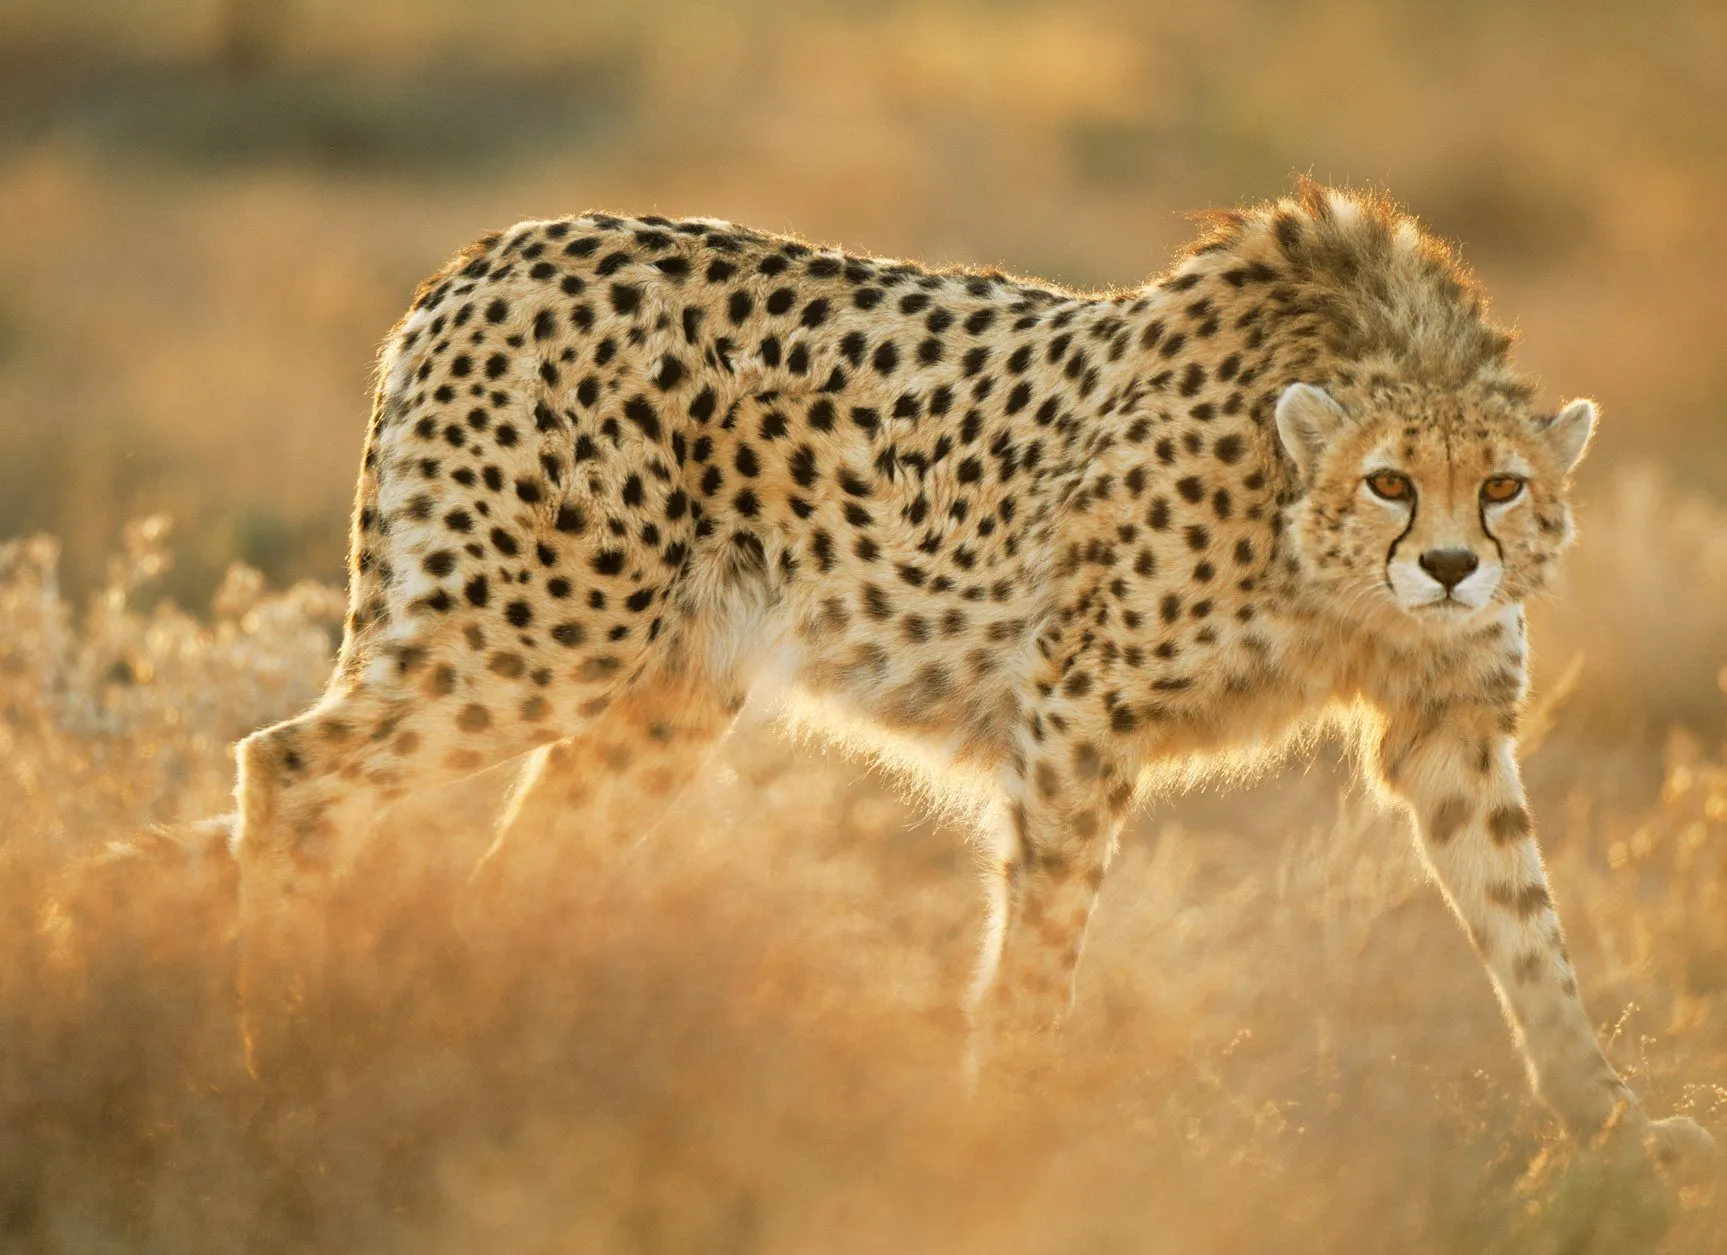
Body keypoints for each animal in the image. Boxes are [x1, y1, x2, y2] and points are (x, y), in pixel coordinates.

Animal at [233, 181, 1713, 1160]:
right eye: (1389, 481)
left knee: (511, 866)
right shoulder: (1075, 706)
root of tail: (490, 251)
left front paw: (1610, 1123)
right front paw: (1006, 1121)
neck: (1317, 557)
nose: (1452, 567)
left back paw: (509, 1069)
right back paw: (283, 1053)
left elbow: (1527, 924)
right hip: (538, 631)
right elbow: (1042, 934)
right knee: (286, 762)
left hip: (659, 693)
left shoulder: (1446, 727)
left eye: (1504, 487)